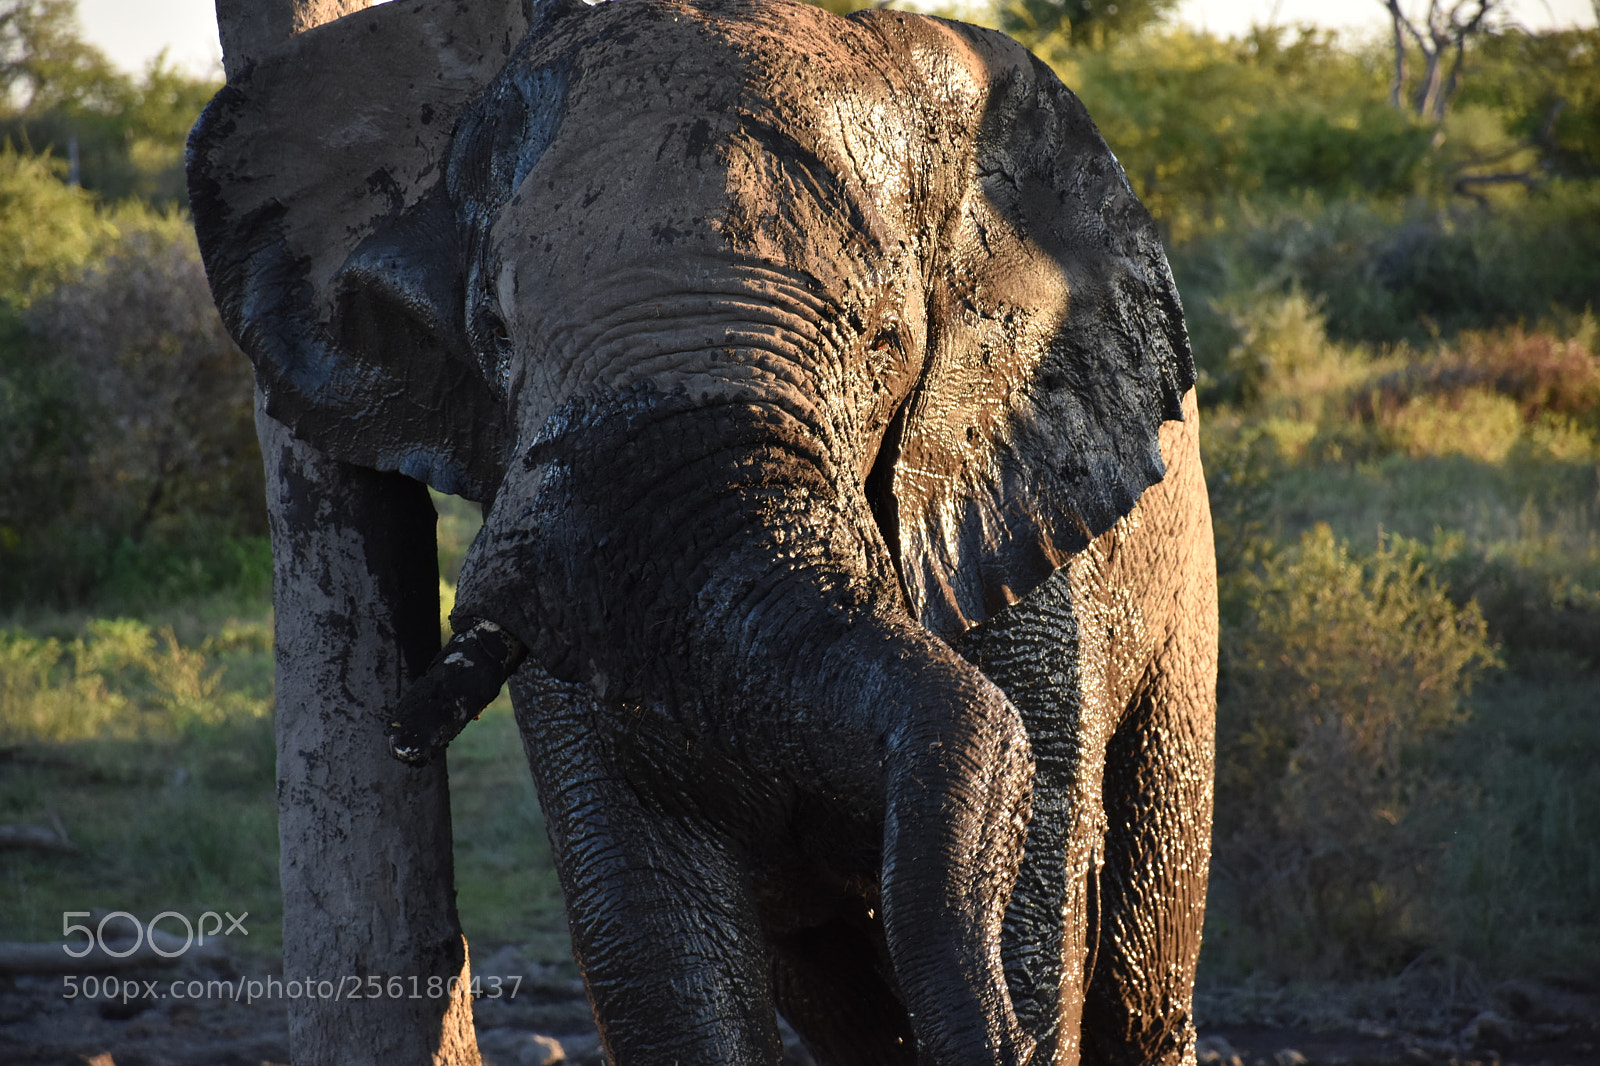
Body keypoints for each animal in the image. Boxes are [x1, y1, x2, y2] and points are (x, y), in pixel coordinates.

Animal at [187, 0, 1217, 1062]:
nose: (400, 734)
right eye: (496, 334)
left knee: (1139, 975)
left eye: (887, 343)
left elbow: (1033, 909)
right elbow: (655, 941)